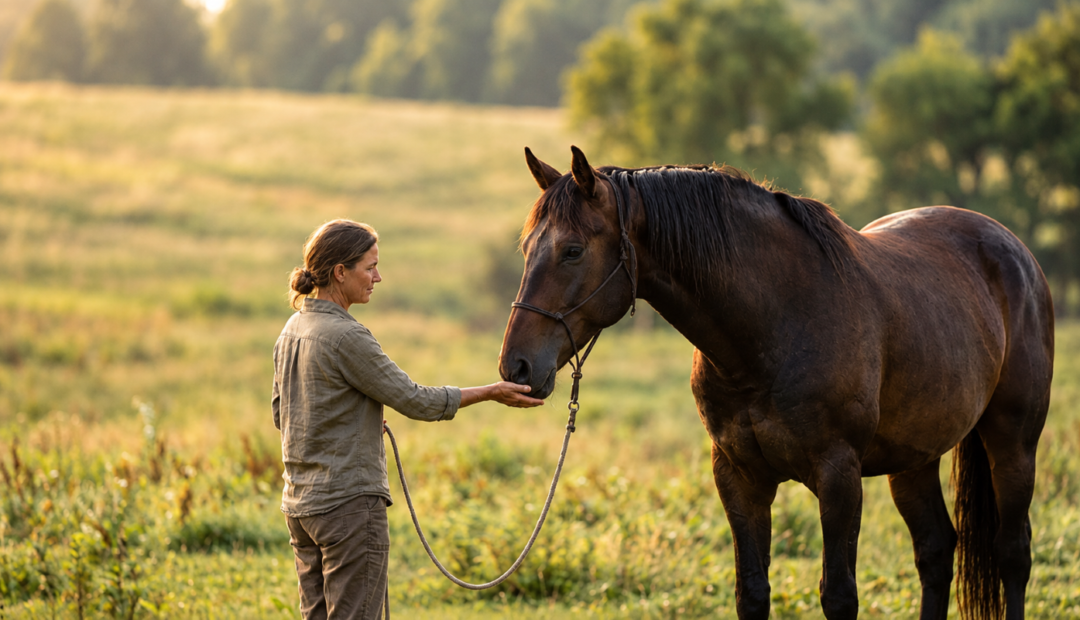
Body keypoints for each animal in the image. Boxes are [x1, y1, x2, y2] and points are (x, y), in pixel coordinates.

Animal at [497, 146, 1054, 620]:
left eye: (572, 250)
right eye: (526, 248)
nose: (515, 367)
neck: (775, 326)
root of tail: (1015, 250)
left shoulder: (839, 476)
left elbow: (839, 596)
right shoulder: (738, 476)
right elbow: (752, 592)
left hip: (1013, 445)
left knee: (1013, 553)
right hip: (913, 458)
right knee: (936, 550)